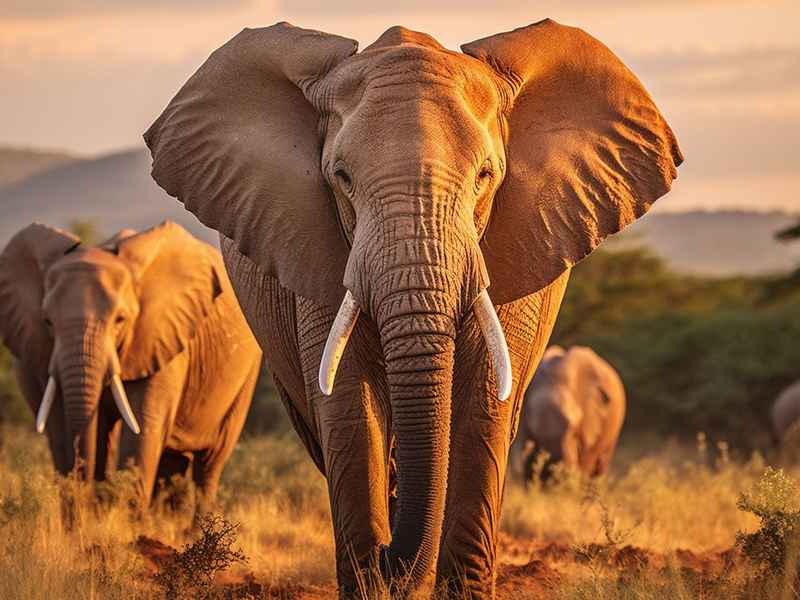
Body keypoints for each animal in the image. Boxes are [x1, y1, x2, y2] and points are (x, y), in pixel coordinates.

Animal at [0, 221, 261, 513]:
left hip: (247, 375)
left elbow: (143, 426)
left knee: (209, 463)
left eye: (120, 320)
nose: (86, 494)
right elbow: (60, 424)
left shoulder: (161, 337)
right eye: (47, 321)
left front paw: (124, 521)